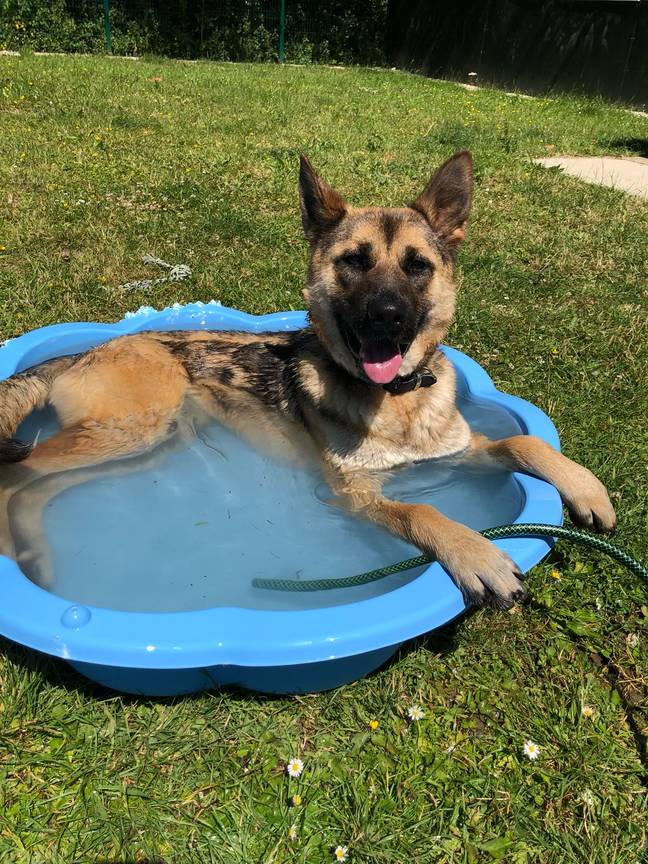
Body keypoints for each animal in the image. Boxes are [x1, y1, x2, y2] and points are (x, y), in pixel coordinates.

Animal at [0, 152, 616, 608]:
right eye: (354, 261)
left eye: (417, 265)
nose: (387, 316)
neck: (395, 400)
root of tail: (90, 349)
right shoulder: (353, 494)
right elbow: (421, 512)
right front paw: (475, 553)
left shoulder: (459, 451)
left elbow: (523, 442)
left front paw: (585, 486)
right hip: (134, 429)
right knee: (15, 478)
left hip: (148, 445)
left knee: (37, 488)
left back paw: (37, 559)